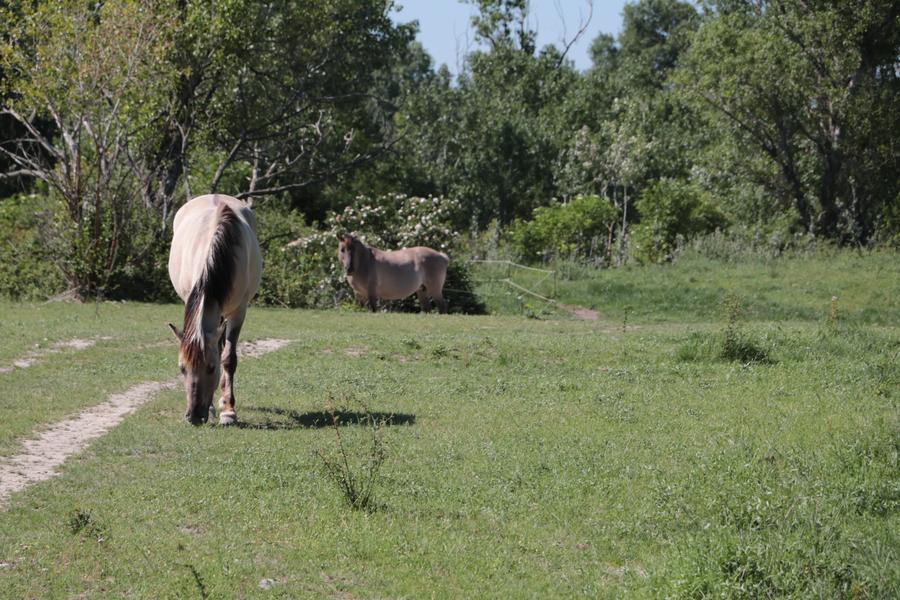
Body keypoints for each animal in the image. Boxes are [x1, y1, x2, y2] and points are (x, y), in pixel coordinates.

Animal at [167, 195, 262, 424]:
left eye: (211, 368)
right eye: (182, 368)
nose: (193, 416)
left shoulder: (238, 312)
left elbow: (228, 358)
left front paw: (228, 411)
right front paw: (211, 408)